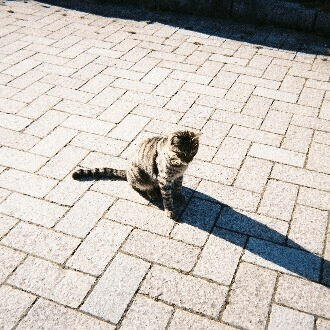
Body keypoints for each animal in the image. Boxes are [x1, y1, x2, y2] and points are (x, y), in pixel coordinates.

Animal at [72, 130, 200, 219]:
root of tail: (127, 171)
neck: (178, 165)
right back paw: (151, 192)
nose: (189, 160)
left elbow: (178, 187)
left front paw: (179, 196)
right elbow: (167, 197)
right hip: (139, 176)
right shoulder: (163, 179)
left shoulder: (179, 176)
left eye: (193, 152)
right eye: (182, 153)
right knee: (138, 186)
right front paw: (170, 210)